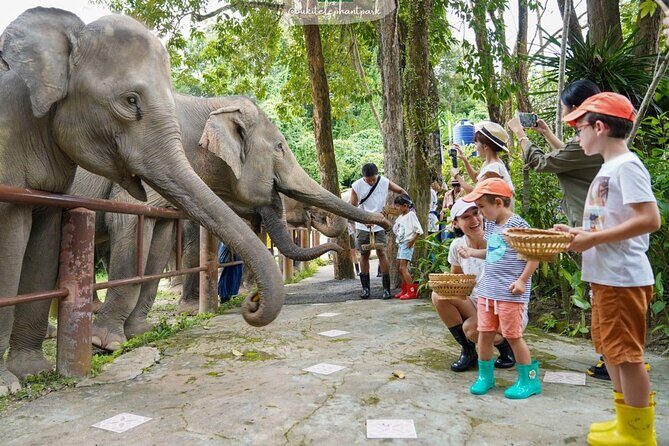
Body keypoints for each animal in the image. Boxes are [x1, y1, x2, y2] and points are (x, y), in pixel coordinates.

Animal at [69, 94, 389, 350]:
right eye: (279, 147)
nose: (384, 223)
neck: (209, 104)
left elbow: (159, 242)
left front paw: (140, 333)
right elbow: (133, 224)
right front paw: (107, 343)